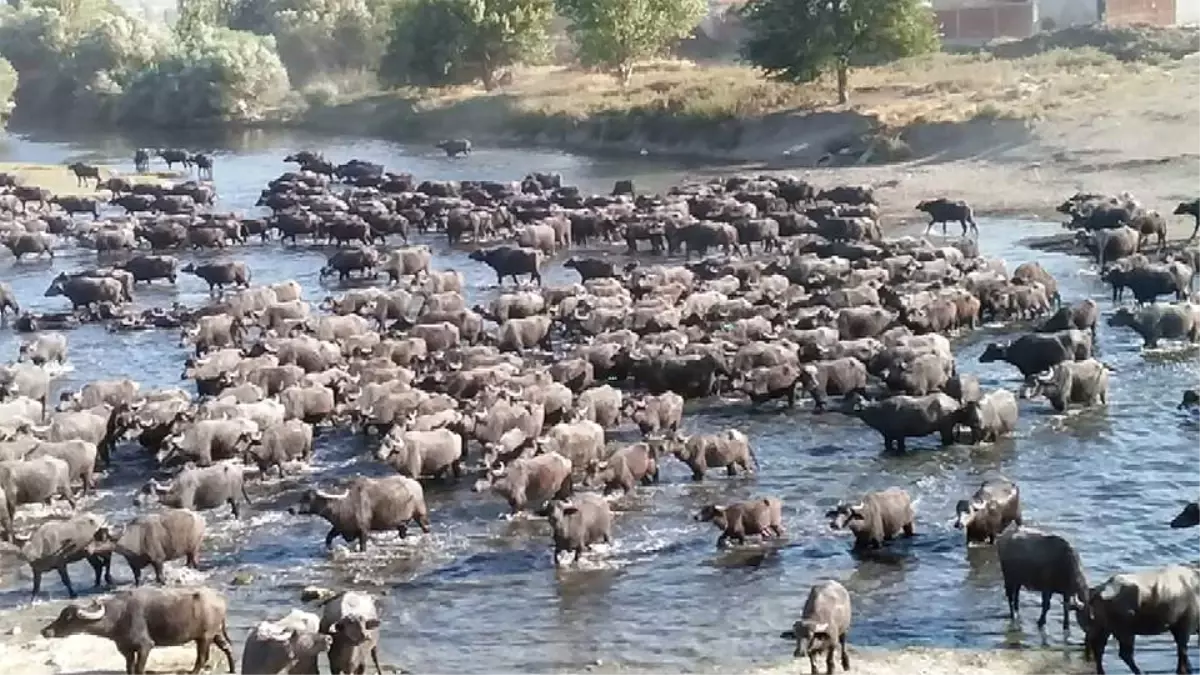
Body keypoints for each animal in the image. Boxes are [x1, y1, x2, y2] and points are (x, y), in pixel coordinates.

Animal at [38, 583, 235, 672]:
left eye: (68, 618)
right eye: (61, 614)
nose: (45, 631)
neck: (119, 616)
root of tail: (220, 599)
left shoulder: (145, 646)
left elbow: (139, 669)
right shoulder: (126, 649)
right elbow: (129, 668)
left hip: (205, 636)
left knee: (202, 658)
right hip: (216, 633)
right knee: (227, 647)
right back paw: (232, 669)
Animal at [290, 473, 432, 552]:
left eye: (308, 498)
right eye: (301, 496)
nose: (291, 509)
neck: (343, 505)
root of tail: (416, 484)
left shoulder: (363, 531)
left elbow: (362, 547)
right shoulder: (340, 528)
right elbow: (328, 538)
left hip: (420, 515)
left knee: (426, 529)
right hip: (402, 523)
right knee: (403, 531)